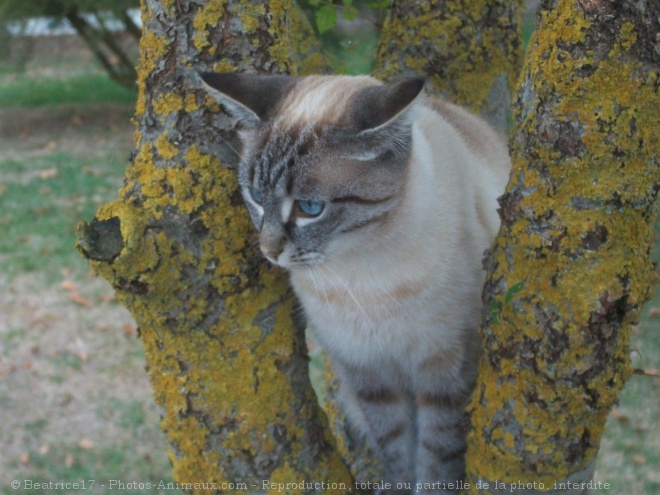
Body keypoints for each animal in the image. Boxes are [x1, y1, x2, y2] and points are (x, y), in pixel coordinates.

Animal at [200, 71, 510, 494]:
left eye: (310, 208)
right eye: (257, 196)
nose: (269, 250)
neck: (363, 275)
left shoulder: (446, 370)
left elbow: (437, 461)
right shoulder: (369, 374)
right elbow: (397, 454)